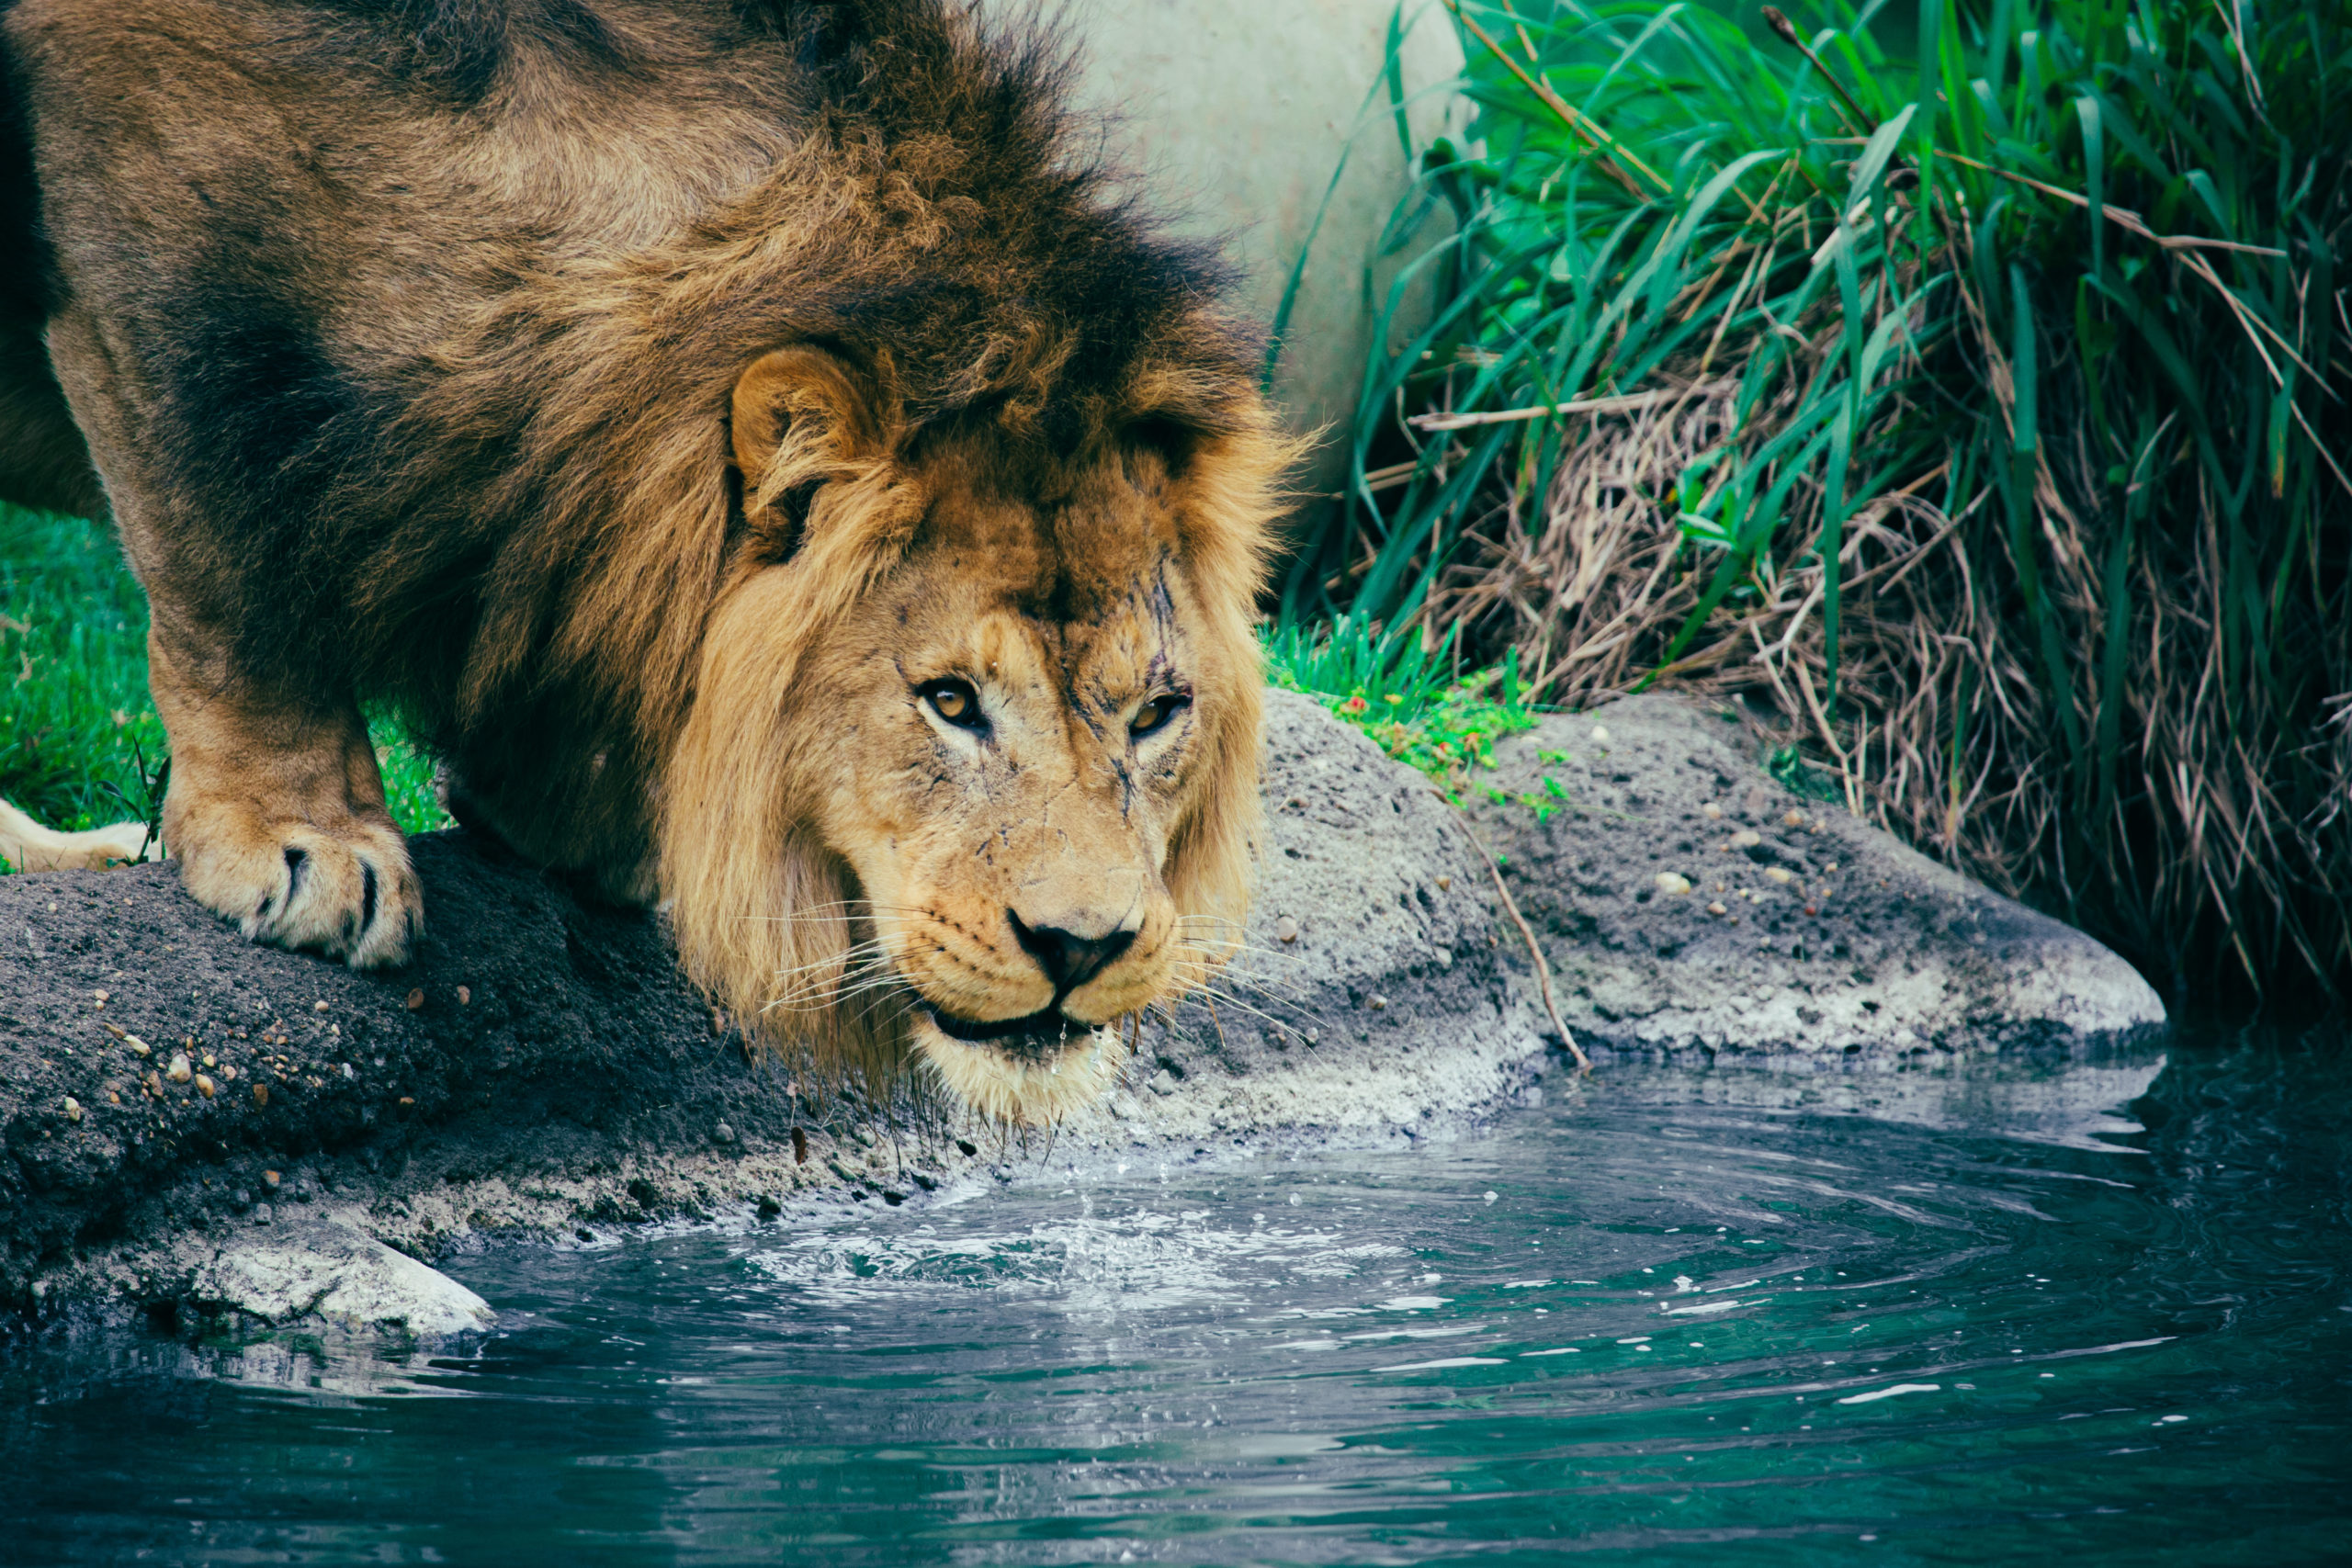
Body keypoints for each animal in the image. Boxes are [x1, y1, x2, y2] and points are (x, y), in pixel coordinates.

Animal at [0, 0, 1288, 1128]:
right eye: (950, 702)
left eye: (1157, 714)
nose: (1084, 947)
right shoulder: (149, 209)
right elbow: (228, 570)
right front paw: (303, 840)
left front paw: (566, 825)